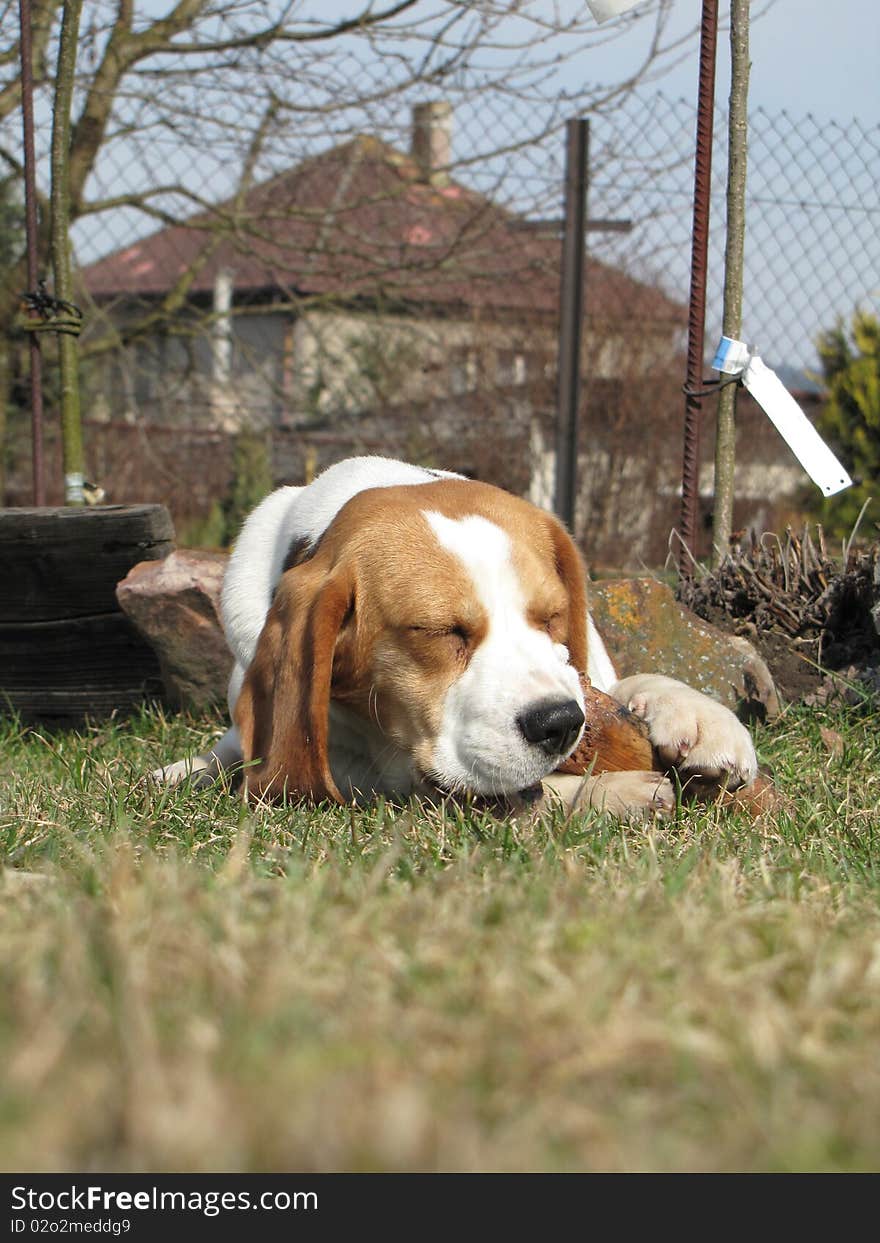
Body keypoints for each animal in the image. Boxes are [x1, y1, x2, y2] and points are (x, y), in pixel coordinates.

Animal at [152, 457, 755, 815]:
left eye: (552, 617)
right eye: (440, 631)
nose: (560, 724)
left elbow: (626, 686)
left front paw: (700, 721)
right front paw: (604, 791)